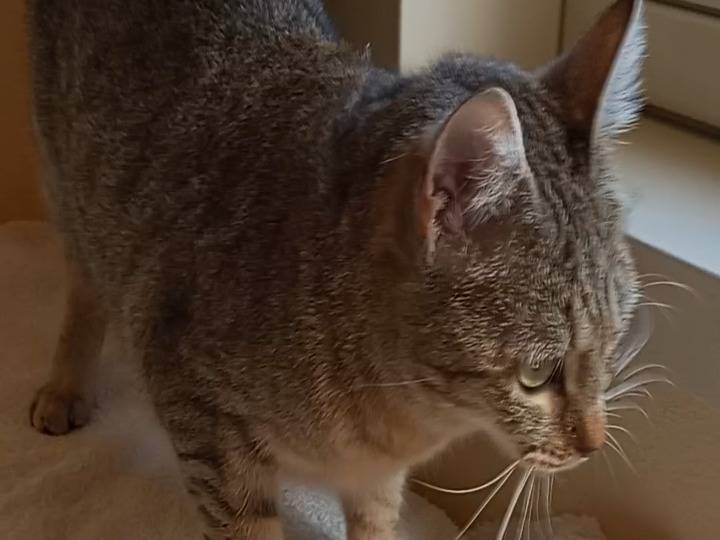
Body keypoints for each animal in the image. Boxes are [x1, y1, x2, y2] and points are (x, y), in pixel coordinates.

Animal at [27, 0, 646, 538]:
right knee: (84, 283)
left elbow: (374, 521)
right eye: (536, 375)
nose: (595, 443)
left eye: (613, 342)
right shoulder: (202, 419)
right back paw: (65, 385)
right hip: (69, 183)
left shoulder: (376, 478)